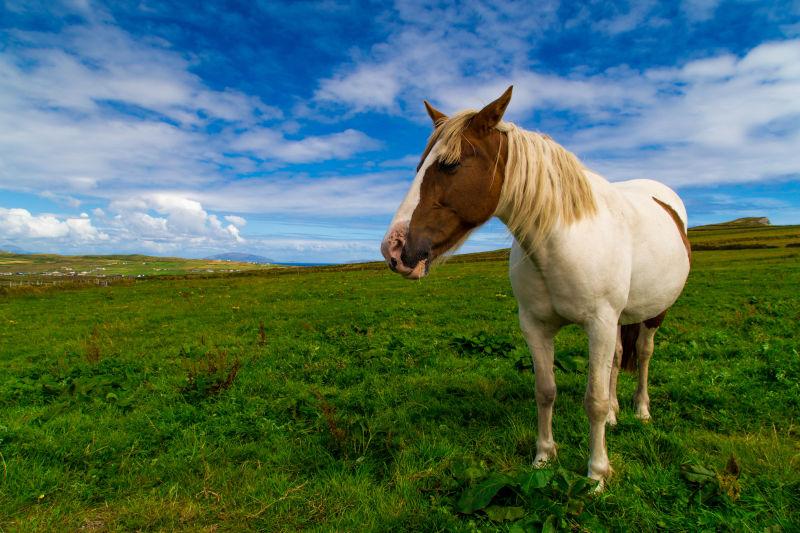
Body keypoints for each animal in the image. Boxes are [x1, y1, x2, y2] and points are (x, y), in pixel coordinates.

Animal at [380, 85, 688, 488]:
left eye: (449, 165)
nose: (393, 249)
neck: (560, 242)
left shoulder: (600, 323)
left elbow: (593, 399)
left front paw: (596, 474)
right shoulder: (536, 326)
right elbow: (546, 391)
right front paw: (543, 457)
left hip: (654, 313)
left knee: (645, 355)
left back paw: (641, 410)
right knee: (619, 358)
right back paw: (616, 415)